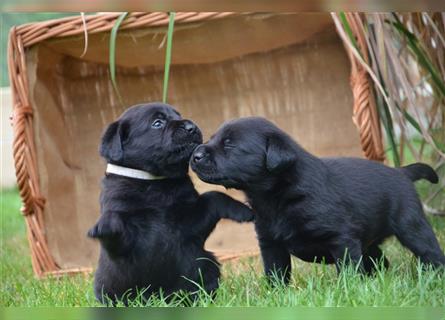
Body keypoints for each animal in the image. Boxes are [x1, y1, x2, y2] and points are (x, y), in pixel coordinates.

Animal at [86, 104, 253, 304]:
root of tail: (162, 298)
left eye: (178, 115)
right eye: (157, 123)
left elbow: (213, 197)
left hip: (205, 262)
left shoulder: (191, 221)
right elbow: (116, 224)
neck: (155, 183)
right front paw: (103, 226)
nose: (191, 127)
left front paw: (243, 210)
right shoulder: (126, 241)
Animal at [192, 117, 444, 282]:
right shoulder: (270, 244)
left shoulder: (342, 240)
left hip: (412, 226)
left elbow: (349, 270)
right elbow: (276, 273)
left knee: (429, 251)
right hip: (370, 240)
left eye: (229, 144)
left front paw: (350, 291)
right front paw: (276, 295)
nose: (195, 154)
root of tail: (402, 172)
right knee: (379, 260)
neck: (275, 196)